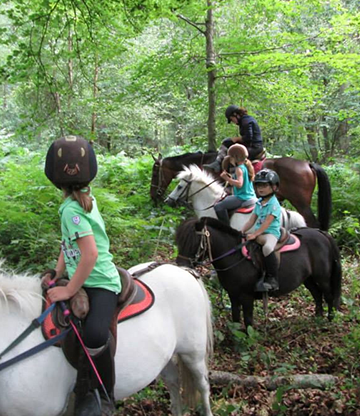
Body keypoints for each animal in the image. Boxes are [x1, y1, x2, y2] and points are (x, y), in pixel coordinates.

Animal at [176, 216, 342, 330]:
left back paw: (329, 320)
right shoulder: (233, 295)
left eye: (194, 241)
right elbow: (236, 317)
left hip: (323, 277)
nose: (181, 266)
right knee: (317, 294)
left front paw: (248, 339)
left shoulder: (247, 296)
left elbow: (248, 320)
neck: (235, 257)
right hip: (308, 278)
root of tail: (322, 233)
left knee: (328, 296)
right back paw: (317, 318)